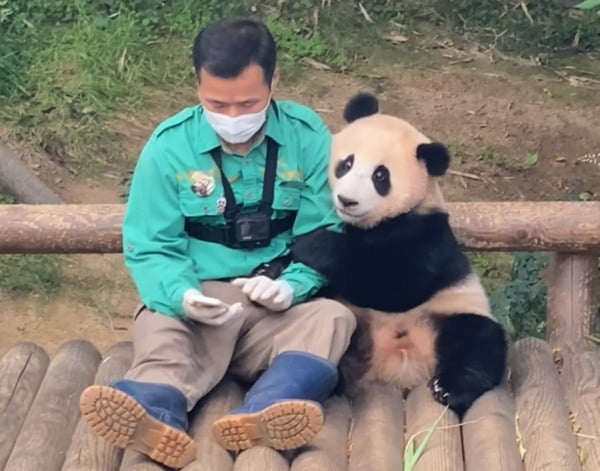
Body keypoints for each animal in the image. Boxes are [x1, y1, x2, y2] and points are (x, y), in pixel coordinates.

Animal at [292, 92, 508, 416]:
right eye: (346, 163)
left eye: (380, 176)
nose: (347, 200)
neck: (373, 225)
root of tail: (400, 369)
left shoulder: (428, 233)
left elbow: (395, 284)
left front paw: (309, 243)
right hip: (357, 322)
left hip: (450, 312)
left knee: (479, 342)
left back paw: (448, 387)